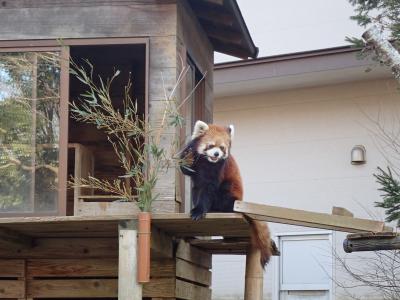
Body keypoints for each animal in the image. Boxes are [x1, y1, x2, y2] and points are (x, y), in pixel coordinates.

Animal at [180, 119, 276, 268]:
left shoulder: (219, 170)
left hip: (229, 191)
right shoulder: (192, 157)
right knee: (196, 189)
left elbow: (208, 190)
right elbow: (185, 167)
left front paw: (199, 210)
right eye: (211, 145)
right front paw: (185, 165)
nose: (216, 154)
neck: (207, 162)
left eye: (222, 148)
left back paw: (215, 209)